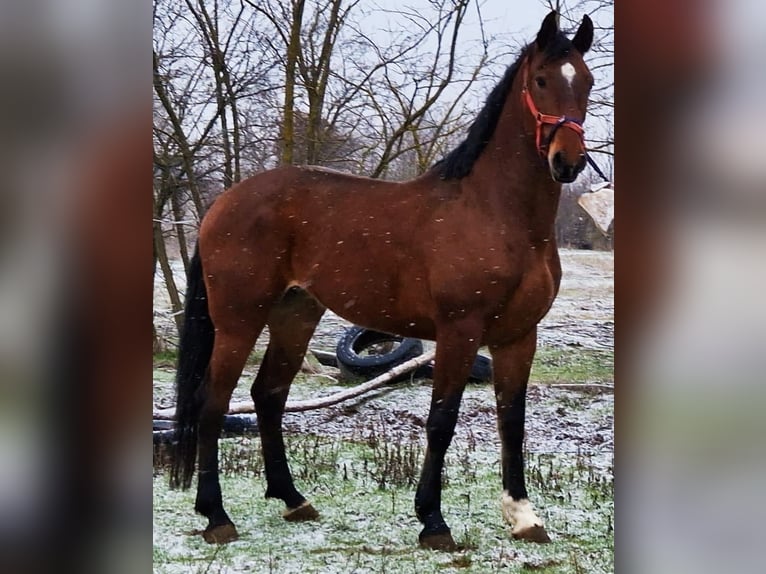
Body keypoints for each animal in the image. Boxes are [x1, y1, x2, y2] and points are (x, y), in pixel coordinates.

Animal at [169, 11, 594, 551]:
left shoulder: (519, 336)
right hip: (239, 320)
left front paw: (523, 516)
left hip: (295, 314)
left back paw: (293, 499)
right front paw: (433, 522)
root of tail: (221, 204)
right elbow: (441, 421)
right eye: (541, 79)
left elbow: (511, 422)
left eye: (587, 81)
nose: (568, 161)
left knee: (268, 394)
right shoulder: (459, 331)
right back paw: (216, 515)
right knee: (214, 401)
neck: (496, 213)